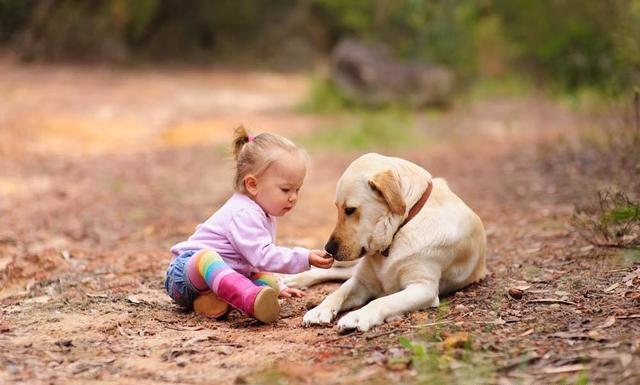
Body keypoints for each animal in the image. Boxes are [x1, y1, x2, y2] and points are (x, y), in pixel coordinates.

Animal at [284, 152, 484, 330]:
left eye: (350, 210)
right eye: (337, 208)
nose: (329, 249)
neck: (401, 227)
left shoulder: (423, 287)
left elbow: (382, 301)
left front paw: (358, 316)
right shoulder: (362, 281)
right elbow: (337, 293)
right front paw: (319, 310)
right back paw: (290, 279)